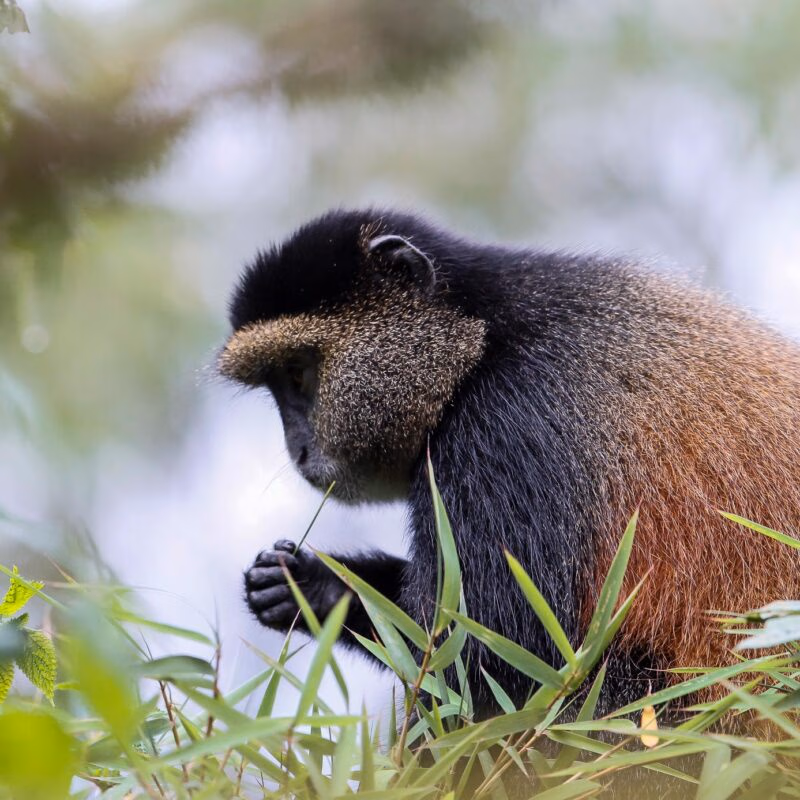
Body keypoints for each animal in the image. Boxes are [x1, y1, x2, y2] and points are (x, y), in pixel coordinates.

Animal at [218, 208, 800, 722]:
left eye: (298, 375)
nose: (297, 448)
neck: (482, 335)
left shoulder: (502, 431)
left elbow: (493, 662)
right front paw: (315, 587)